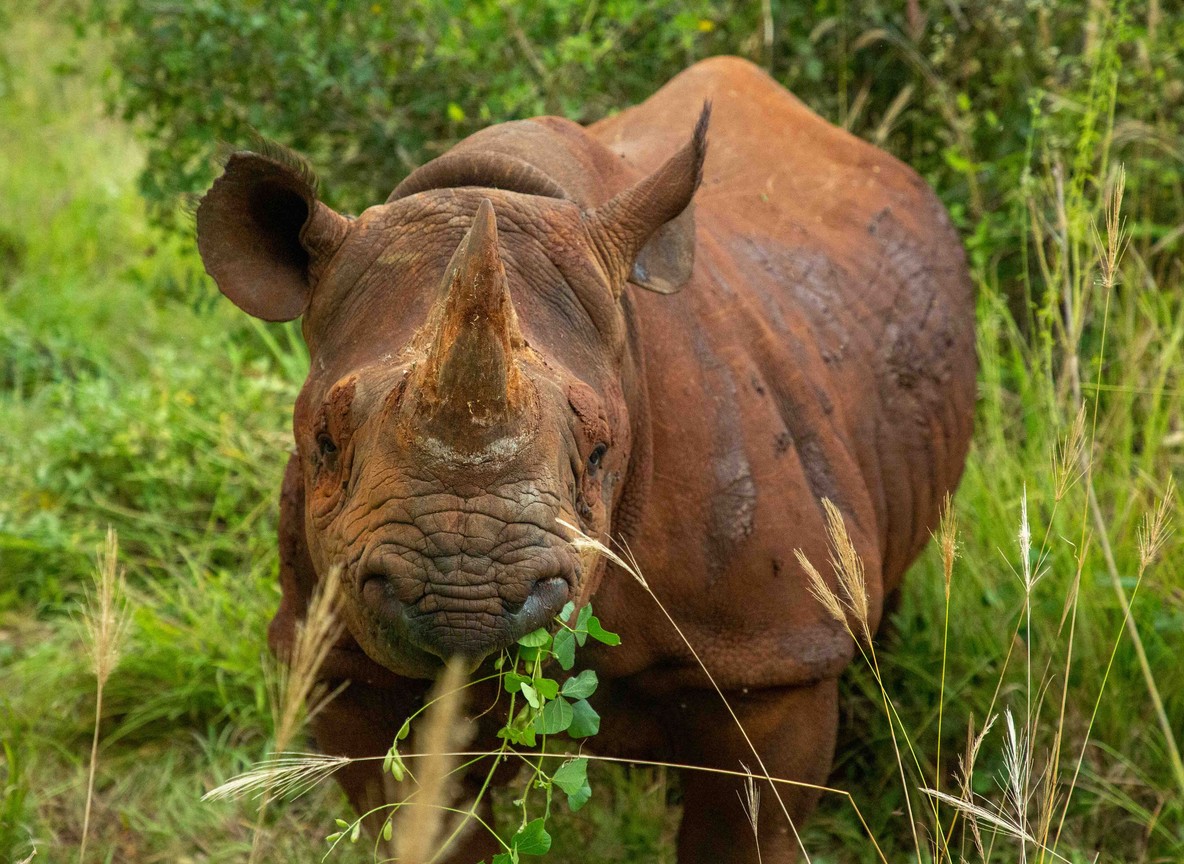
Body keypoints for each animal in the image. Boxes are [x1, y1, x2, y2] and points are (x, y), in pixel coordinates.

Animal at [196, 57, 975, 862]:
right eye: (325, 442)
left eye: (600, 451)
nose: (463, 603)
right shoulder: (339, 664)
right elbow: (422, 822)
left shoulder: (776, 660)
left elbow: (744, 830)